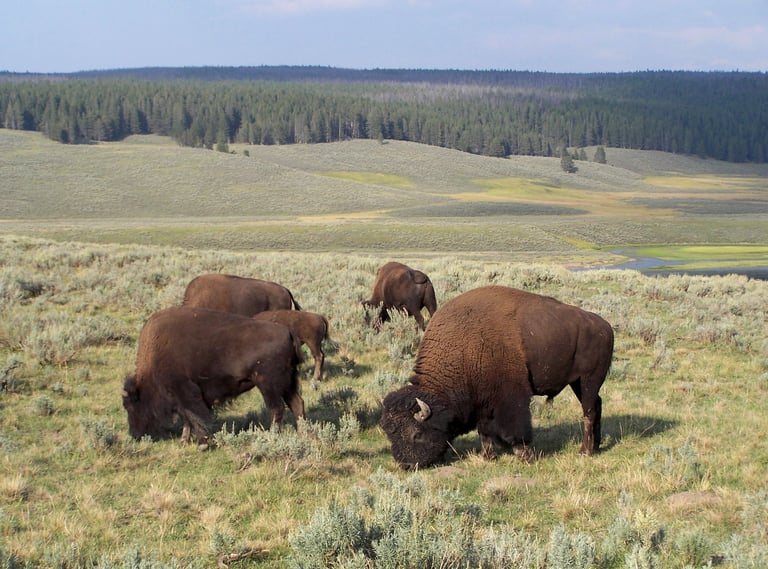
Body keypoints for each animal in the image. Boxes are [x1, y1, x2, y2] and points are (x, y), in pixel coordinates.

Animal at [122, 306, 305, 447]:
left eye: (131, 406)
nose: (134, 435)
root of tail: (288, 333)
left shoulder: (185, 392)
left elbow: (195, 416)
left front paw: (202, 443)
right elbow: (187, 418)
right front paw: (183, 441)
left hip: (268, 385)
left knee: (276, 408)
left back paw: (273, 435)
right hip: (287, 384)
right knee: (296, 404)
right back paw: (302, 433)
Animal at [380, 285, 614, 469]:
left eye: (417, 434)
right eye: (390, 434)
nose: (407, 464)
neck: (463, 348)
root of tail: (605, 326)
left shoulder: (511, 398)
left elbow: (516, 428)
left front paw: (524, 456)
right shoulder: (482, 401)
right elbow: (484, 431)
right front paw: (488, 456)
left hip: (588, 380)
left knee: (589, 412)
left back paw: (585, 451)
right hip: (578, 383)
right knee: (597, 406)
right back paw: (597, 446)